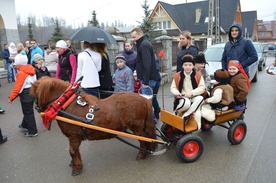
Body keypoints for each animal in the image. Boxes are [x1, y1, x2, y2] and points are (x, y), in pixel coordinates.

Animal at [29, 77, 157, 176]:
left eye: (36, 93)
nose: (37, 108)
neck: (67, 103)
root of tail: (144, 99)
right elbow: (75, 151)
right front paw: (74, 163)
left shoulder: (74, 136)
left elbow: (72, 151)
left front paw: (77, 167)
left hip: (137, 127)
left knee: (143, 138)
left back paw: (142, 153)